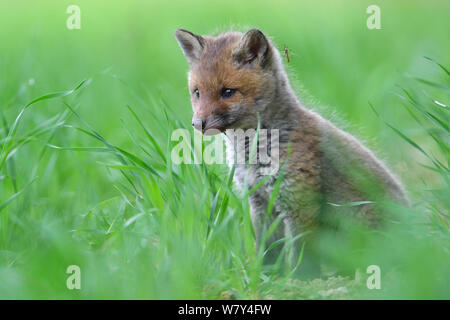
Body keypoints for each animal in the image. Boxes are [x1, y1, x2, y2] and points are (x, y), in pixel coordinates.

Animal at [175, 28, 408, 276]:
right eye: (197, 92)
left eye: (228, 92)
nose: (197, 124)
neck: (252, 155)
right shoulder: (260, 203)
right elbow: (266, 251)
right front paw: (266, 277)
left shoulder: (299, 206)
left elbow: (300, 260)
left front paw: (299, 281)